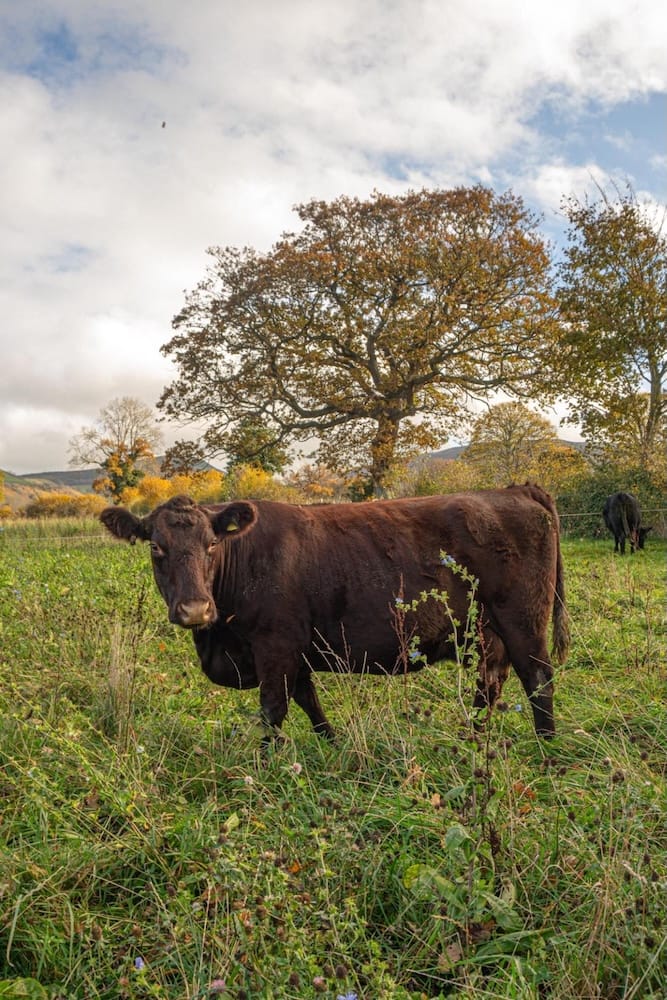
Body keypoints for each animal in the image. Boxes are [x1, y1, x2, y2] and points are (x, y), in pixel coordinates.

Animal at [100, 483, 570, 743]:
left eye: (212, 544)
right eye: (156, 547)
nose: (195, 609)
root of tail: (514, 490)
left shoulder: (276, 645)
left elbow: (273, 709)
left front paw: (265, 763)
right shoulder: (296, 652)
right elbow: (307, 701)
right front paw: (333, 743)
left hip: (523, 622)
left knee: (537, 679)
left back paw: (546, 750)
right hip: (484, 632)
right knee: (489, 684)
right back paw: (471, 738)